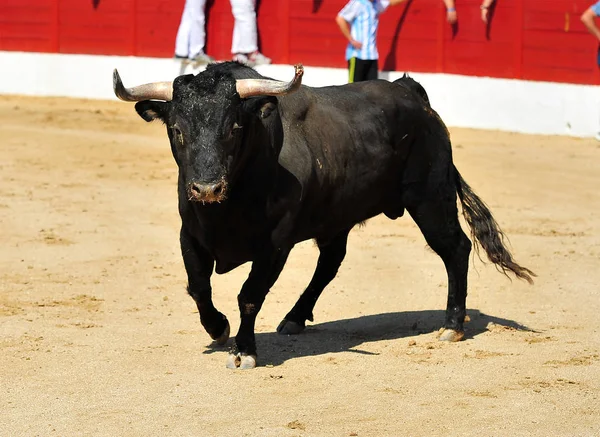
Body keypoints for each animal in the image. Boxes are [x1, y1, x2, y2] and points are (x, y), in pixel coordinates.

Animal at [112, 61, 536, 368]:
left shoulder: (275, 246)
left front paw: (244, 351)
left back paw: (451, 325)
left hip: (430, 197)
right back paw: (295, 318)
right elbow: (199, 286)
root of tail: (412, 92)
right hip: (339, 216)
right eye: (177, 130)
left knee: (455, 248)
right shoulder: (192, 234)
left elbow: (250, 295)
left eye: (233, 127)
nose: (206, 189)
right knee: (331, 263)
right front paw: (218, 328)